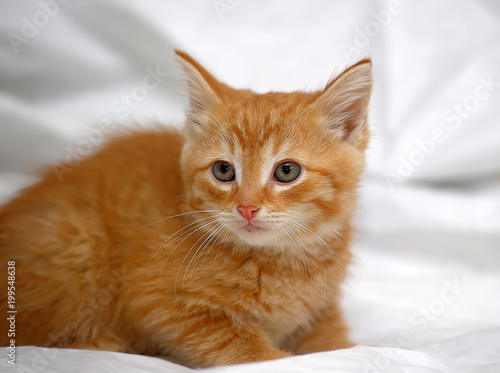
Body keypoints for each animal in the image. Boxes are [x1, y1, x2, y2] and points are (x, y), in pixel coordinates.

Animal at [0, 50, 372, 368]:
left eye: (287, 171)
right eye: (223, 171)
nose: (247, 208)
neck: (276, 262)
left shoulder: (320, 307)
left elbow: (335, 343)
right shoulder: (157, 297)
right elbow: (240, 343)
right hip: (77, 241)